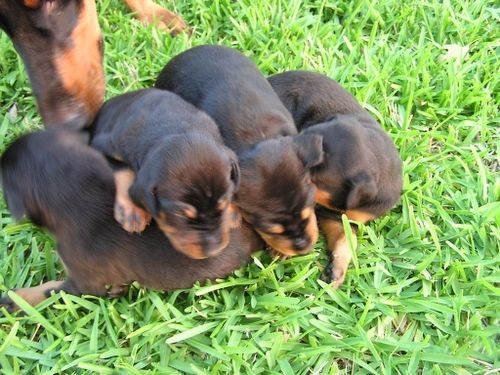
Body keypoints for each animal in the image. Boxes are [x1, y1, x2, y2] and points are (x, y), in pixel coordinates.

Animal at [91, 88, 241, 260]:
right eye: (179, 214)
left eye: (224, 203)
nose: (213, 251)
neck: (174, 128)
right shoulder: (102, 145)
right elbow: (123, 170)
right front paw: (133, 212)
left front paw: (232, 212)